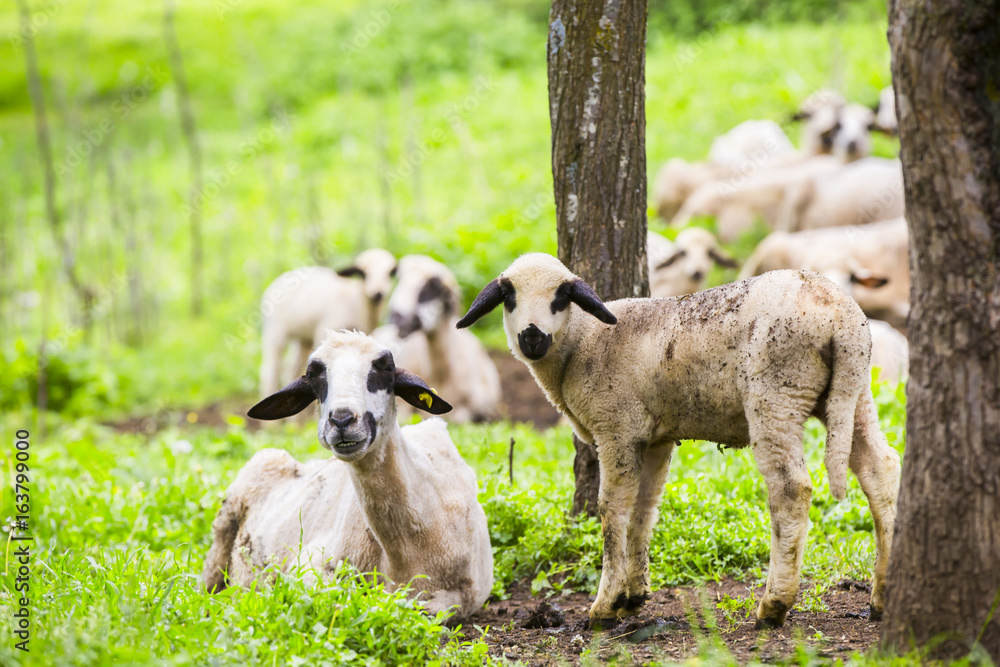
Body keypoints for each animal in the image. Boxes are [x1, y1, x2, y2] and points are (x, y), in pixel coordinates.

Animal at [204, 330, 493, 620]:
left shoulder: (468, 592)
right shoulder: (309, 566)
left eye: (386, 369)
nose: (342, 420)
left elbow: (433, 608)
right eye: (313, 376)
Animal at [259, 248, 397, 398]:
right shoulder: (326, 329)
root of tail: (278, 280)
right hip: (276, 330)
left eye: (389, 273)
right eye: (362, 274)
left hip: (303, 337)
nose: (378, 294)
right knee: (271, 370)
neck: (357, 300)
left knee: (292, 368)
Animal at [457, 253, 900, 628]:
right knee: (880, 469)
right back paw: (881, 596)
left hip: (777, 394)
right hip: (853, 392)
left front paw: (604, 606)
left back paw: (773, 605)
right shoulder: (653, 439)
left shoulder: (617, 429)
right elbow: (643, 509)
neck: (585, 342)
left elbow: (612, 510)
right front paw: (633, 595)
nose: (532, 338)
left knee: (791, 488)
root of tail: (839, 317)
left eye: (560, 298)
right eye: (509, 299)